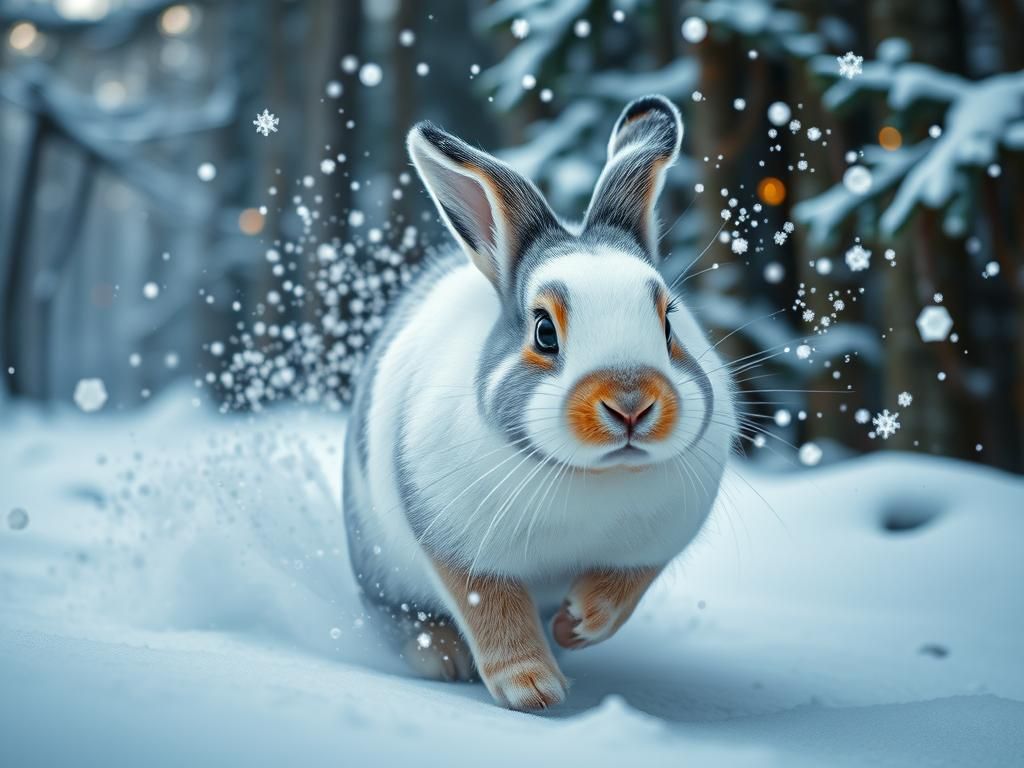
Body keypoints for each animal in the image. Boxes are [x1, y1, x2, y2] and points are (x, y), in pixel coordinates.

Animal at [343, 94, 737, 711]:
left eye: (669, 321)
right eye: (544, 331)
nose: (630, 405)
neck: (592, 476)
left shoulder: (655, 546)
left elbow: (623, 589)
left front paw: (578, 624)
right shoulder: (463, 551)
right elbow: (492, 610)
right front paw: (532, 689)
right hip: (379, 571)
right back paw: (441, 658)